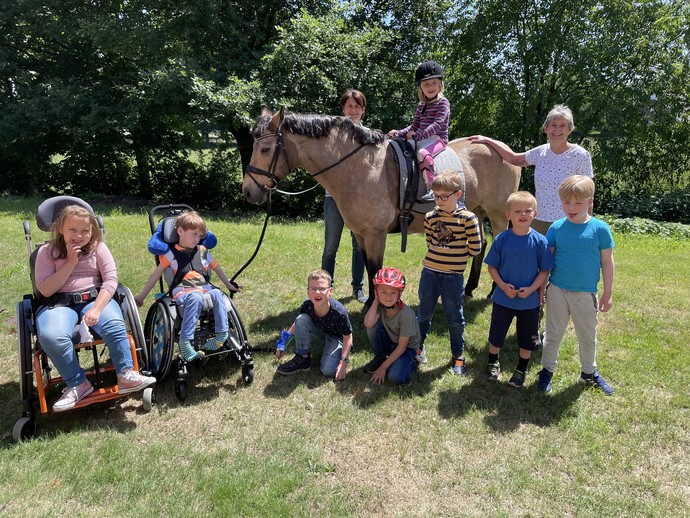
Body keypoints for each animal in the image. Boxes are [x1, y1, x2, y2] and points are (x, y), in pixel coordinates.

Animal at [242, 108, 516, 306]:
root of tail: (503, 149)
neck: (363, 167)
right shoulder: (361, 234)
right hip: (476, 212)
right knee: (482, 247)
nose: (248, 191)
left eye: (265, 149)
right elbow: (367, 267)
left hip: (498, 216)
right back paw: (469, 289)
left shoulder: (376, 234)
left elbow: (375, 268)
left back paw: (494, 293)